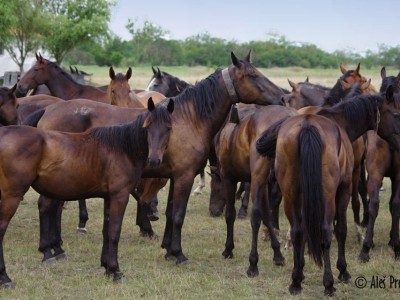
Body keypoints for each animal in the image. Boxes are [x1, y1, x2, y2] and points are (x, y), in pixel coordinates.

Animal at [0, 97, 175, 288]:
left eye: (168, 128)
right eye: (147, 126)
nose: (154, 160)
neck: (122, 148)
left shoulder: (109, 197)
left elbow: (107, 231)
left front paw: (107, 268)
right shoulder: (119, 196)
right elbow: (114, 232)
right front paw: (116, 271)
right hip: (12, 197)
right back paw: (6, 278)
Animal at [256, 86, 400, 296]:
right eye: (397, 114)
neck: (340, 122)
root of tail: (308, 126)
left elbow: (303, 231)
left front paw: (300, 271)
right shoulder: (344, 189)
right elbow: (340, 230)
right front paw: (343, 271)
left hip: (291, 194)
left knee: (298, 230)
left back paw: (295, 282)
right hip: (328, 195)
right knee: (326, 231)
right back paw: (329, 283)